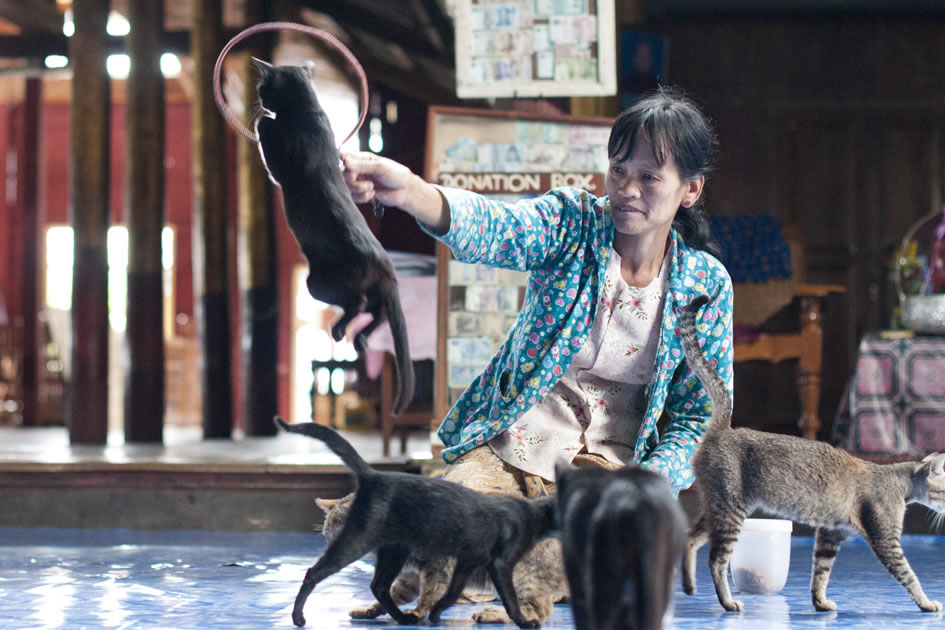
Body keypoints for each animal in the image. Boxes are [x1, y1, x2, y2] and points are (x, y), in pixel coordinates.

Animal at [251, 58, 412, 414]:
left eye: (262, 87)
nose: (259, 101)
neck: (310, 110)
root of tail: (386, 265)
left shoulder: (282, 166)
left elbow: (271, 151)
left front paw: (262, 121)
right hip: (372, 293)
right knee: (377, 313)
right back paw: (359, 336)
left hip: (319, 283)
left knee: (359, 302)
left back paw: (340, 329)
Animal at [272, 418, 556, 628]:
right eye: (326, 532)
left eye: (335, 526)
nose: (330, 538)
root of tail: (374, 475)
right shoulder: (421, 571)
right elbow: (406, 592)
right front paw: (374, 612)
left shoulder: (439, 568)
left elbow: (429, 593)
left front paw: (421, 613)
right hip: (388, 551)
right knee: (369, 584)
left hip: (368, 547)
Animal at [680, 298, 944, 616]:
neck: (899, 482)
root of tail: (722, 427)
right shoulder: (886, 541)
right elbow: (909, 575)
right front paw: (927, 602)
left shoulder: (830, 535)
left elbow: (820, 573)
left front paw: (820, 602)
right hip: (731, 510)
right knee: (716, 559)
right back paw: (728, 602)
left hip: (717, 507)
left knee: (690, 539)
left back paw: (688, 586)